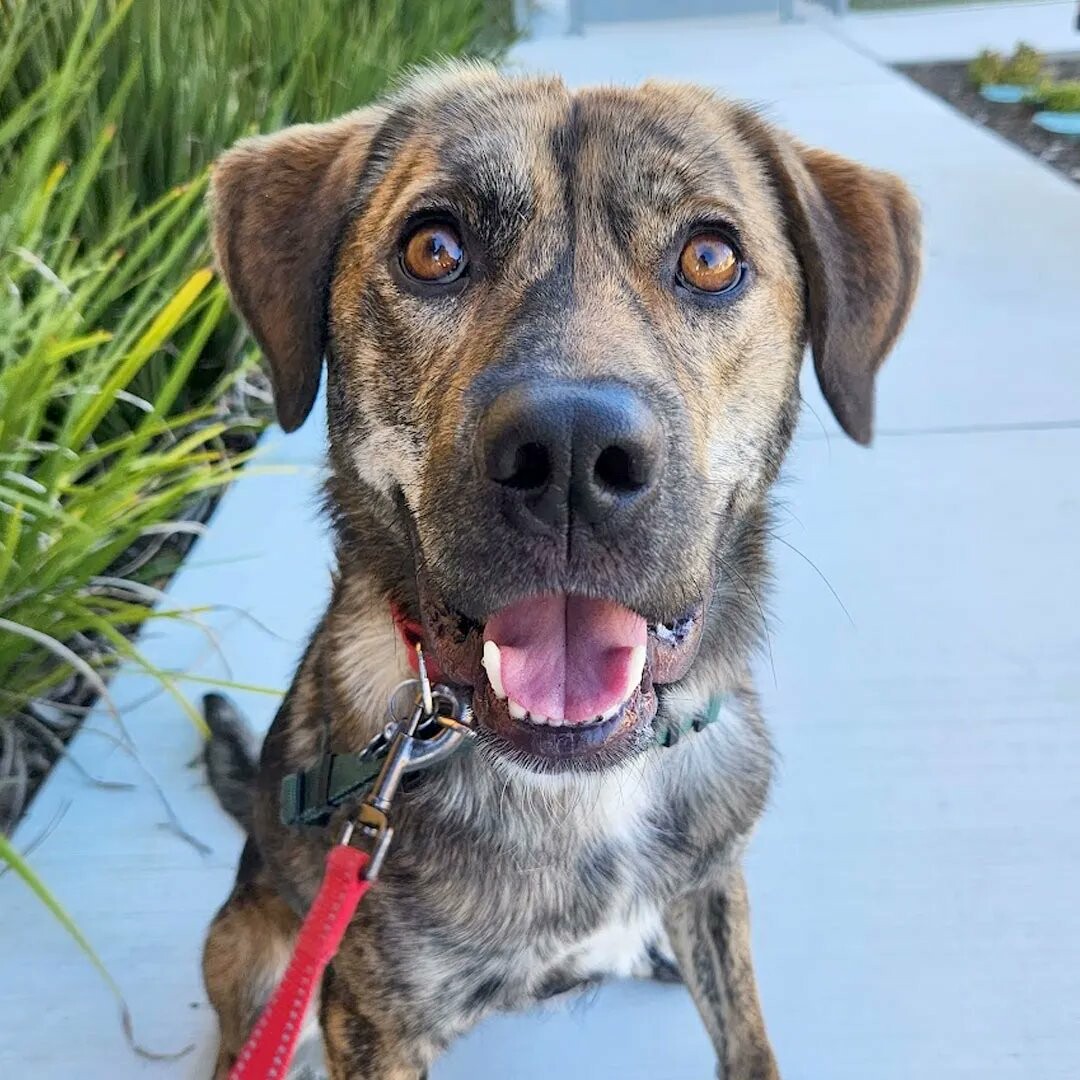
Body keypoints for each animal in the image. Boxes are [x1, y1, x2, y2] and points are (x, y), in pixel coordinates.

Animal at [200, 61, 921, 1079]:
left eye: (711, 258)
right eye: (433, 248)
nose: (574, 456)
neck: (578, 787)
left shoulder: (714, 884)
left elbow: (746, 1036)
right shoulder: (366, 1015)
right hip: (254, 958)